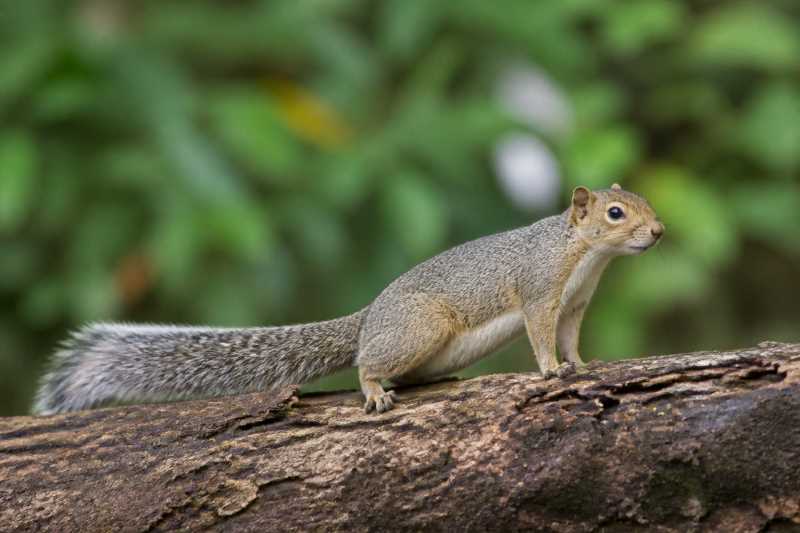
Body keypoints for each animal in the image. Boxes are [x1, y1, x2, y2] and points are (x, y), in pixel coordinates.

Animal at [33, 184, 663, 415]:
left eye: (640, 200)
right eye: (615, 212)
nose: (658, 232)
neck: (583, 255)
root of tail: (366, 321)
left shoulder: (575, 304)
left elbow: (572, 336)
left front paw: (581, 363)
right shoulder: (538, 292)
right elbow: (540, 335)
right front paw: (551, 370)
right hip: (420, 328)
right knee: (366, 363)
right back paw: (374, 390)